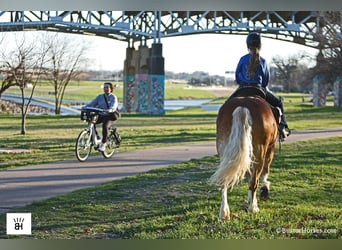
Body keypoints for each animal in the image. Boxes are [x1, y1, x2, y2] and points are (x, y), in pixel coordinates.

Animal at [208, 87, 280, 220]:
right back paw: (253, 208)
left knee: (225, 180)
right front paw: (263, 191)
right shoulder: (270, 149)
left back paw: (224, 212)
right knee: (254, 181)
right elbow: (264, 172)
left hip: (225, 149)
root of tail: (243, 106)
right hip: (259, 152)